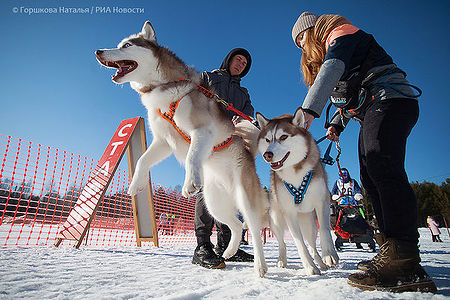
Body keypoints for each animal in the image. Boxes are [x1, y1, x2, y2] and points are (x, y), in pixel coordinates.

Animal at [95, 21, 268, 278]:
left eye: (126, 46)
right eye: (119, 45)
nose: (98, 52)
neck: (165, 87)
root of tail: (248, 154)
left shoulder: (201, 131)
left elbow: (191, 156)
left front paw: (189, 183)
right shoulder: (163, 142)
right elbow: (142, 160)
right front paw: (136, 185)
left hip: (245, 200)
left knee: (254, 230)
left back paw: (260, 265)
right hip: (214, 204)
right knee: (236, 226)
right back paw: (228, 252)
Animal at [256, 107, 338, 274]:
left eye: (283, 137)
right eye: (267, 140)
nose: (267, 155)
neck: (295, 173)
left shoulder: (322, 201)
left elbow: (325, 229)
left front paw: (329, 255)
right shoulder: (289, 212)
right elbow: (299, 242)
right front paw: (309, 266)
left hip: (309, 224)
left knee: (313, 245)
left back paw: (321, 262)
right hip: (276, 221)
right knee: (283, 243)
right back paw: (282, 260)